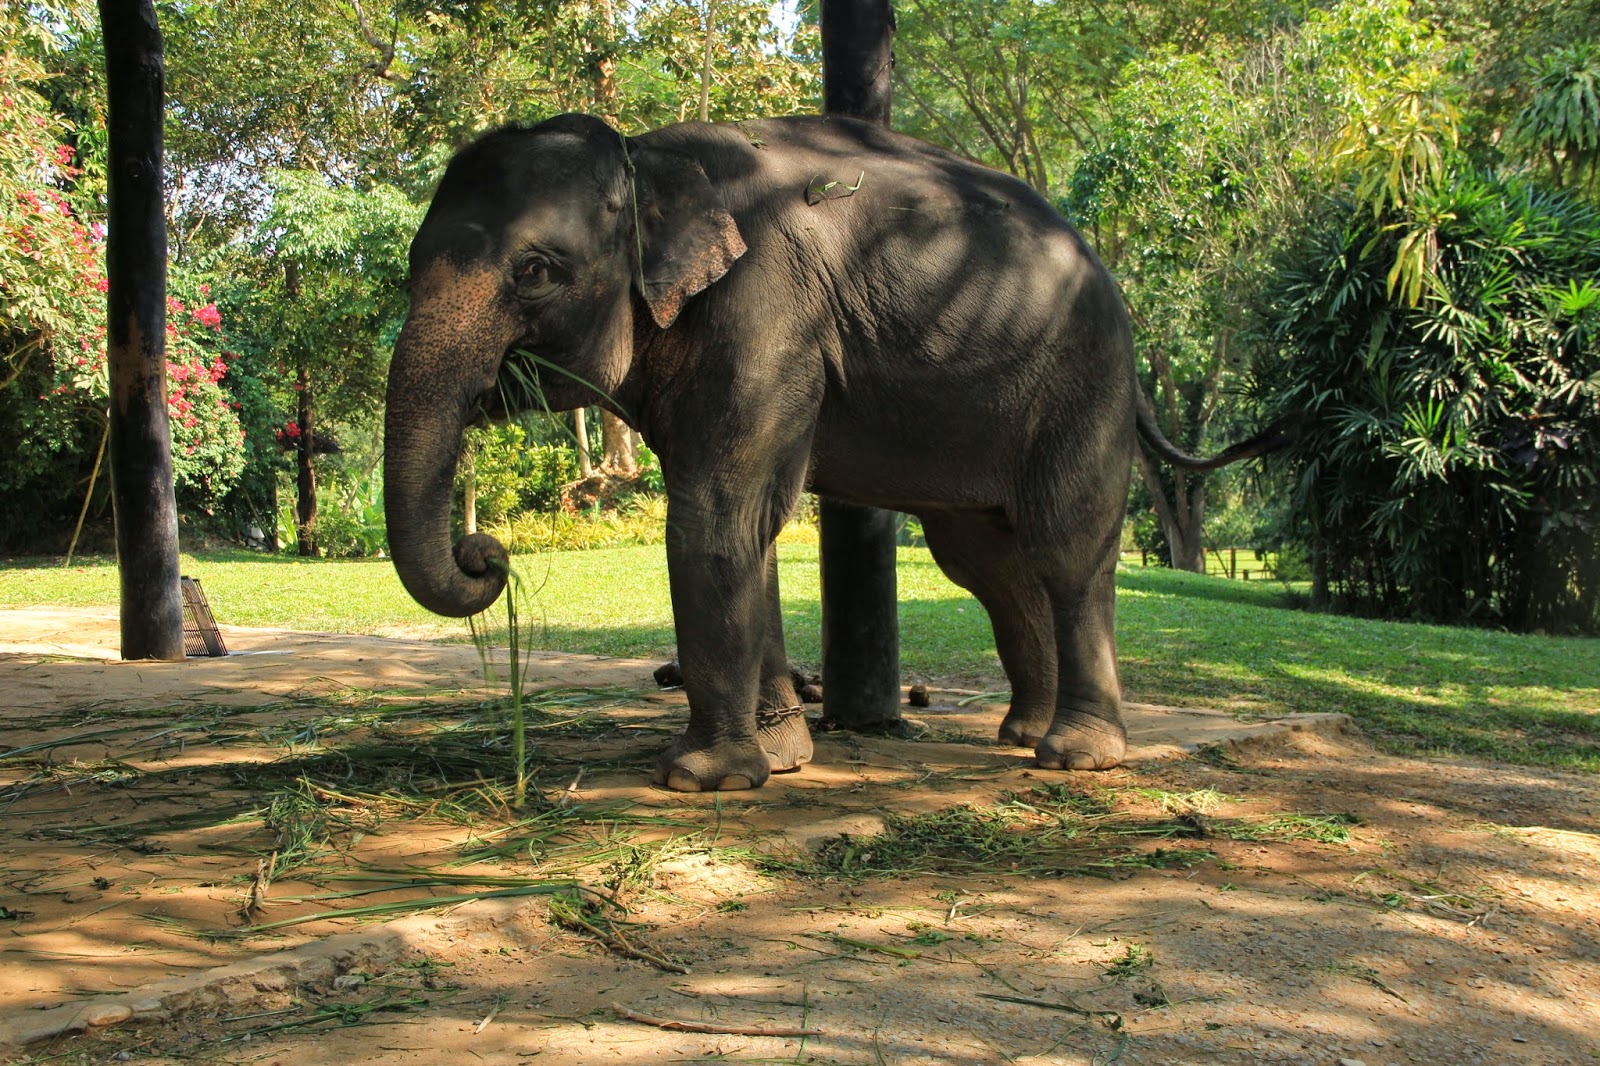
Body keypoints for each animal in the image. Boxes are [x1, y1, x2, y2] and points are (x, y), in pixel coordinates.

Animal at [380, 112, 1267, 787]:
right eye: (409, 270)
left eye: (535, 271)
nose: (484, 554)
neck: (647, 155)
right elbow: (752, 527)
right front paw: (780, 758)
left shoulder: (766, 309)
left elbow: (717, 514)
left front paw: (703, 778)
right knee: (987, 563)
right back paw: (1022, 733)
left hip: (1081, 381)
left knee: (1064, 546)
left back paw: (1077, 756)